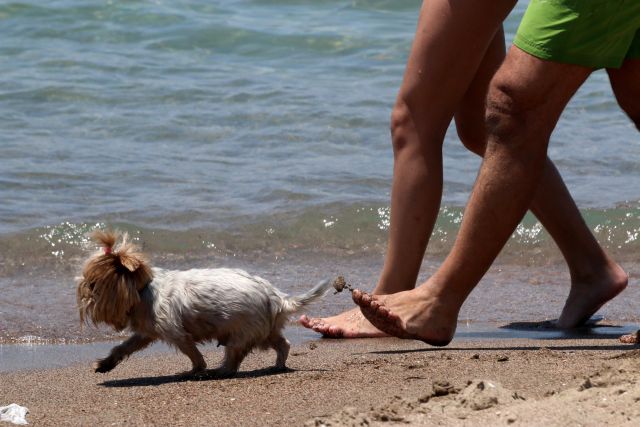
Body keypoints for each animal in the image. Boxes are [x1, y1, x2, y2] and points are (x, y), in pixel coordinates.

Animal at [76, 231, 330, 378]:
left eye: (92, 284)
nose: (82, 292)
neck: (144, 288)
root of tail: (277, 297)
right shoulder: (146, 332)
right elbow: (123, 347)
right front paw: (105, 364)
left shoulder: (176, 333)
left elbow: (192, 352)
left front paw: (198, 368)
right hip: (267, 330)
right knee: (283, 344)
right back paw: (278, 365)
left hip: (243, 333)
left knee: (234, 358)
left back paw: (221, 370)